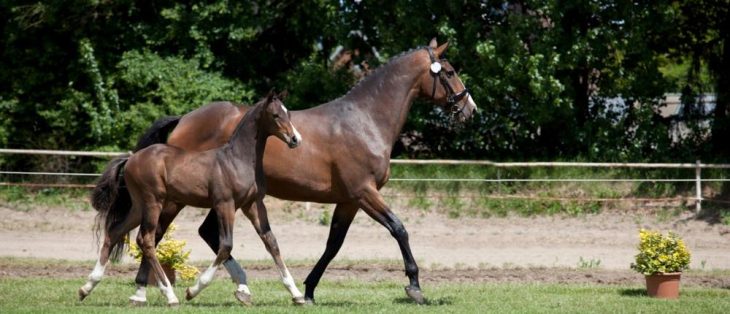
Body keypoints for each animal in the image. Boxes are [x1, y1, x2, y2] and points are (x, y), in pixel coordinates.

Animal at [79, 92, 304, 306]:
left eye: (289, 114)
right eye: (275, 115)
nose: (295, 139)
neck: (237, 159)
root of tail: (131, 158)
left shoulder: (252, 205)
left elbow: (271, 242)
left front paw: (296, 294)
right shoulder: (225, 204)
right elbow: (226, 246)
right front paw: (193, 290)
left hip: (138, 206)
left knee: (115, 231)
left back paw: (87, 287)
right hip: (154, 202)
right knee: (146, 239)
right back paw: (170, 296)